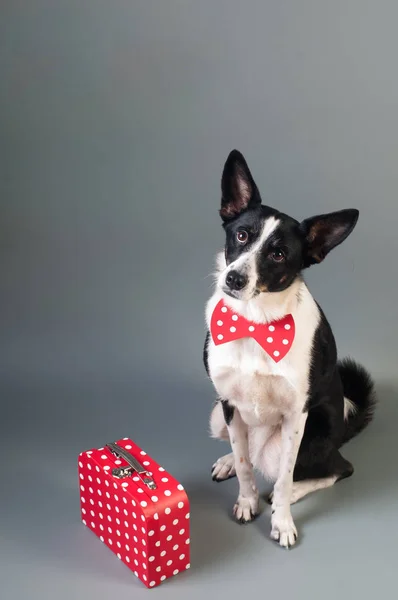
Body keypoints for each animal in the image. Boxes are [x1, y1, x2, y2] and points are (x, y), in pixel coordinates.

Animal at [204, 149, 374, 548]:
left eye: (279, 254)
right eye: (241, 235)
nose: (234, 278)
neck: (254, 322)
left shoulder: (297, 417)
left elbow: (282, 477)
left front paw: (281, 520)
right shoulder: (229, 403)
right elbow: (245, 464)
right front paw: (246, 499)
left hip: (314, 434)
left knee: (337, 468)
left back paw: (299, 490)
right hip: (218, 414)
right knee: (247, 450)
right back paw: (229, 461)